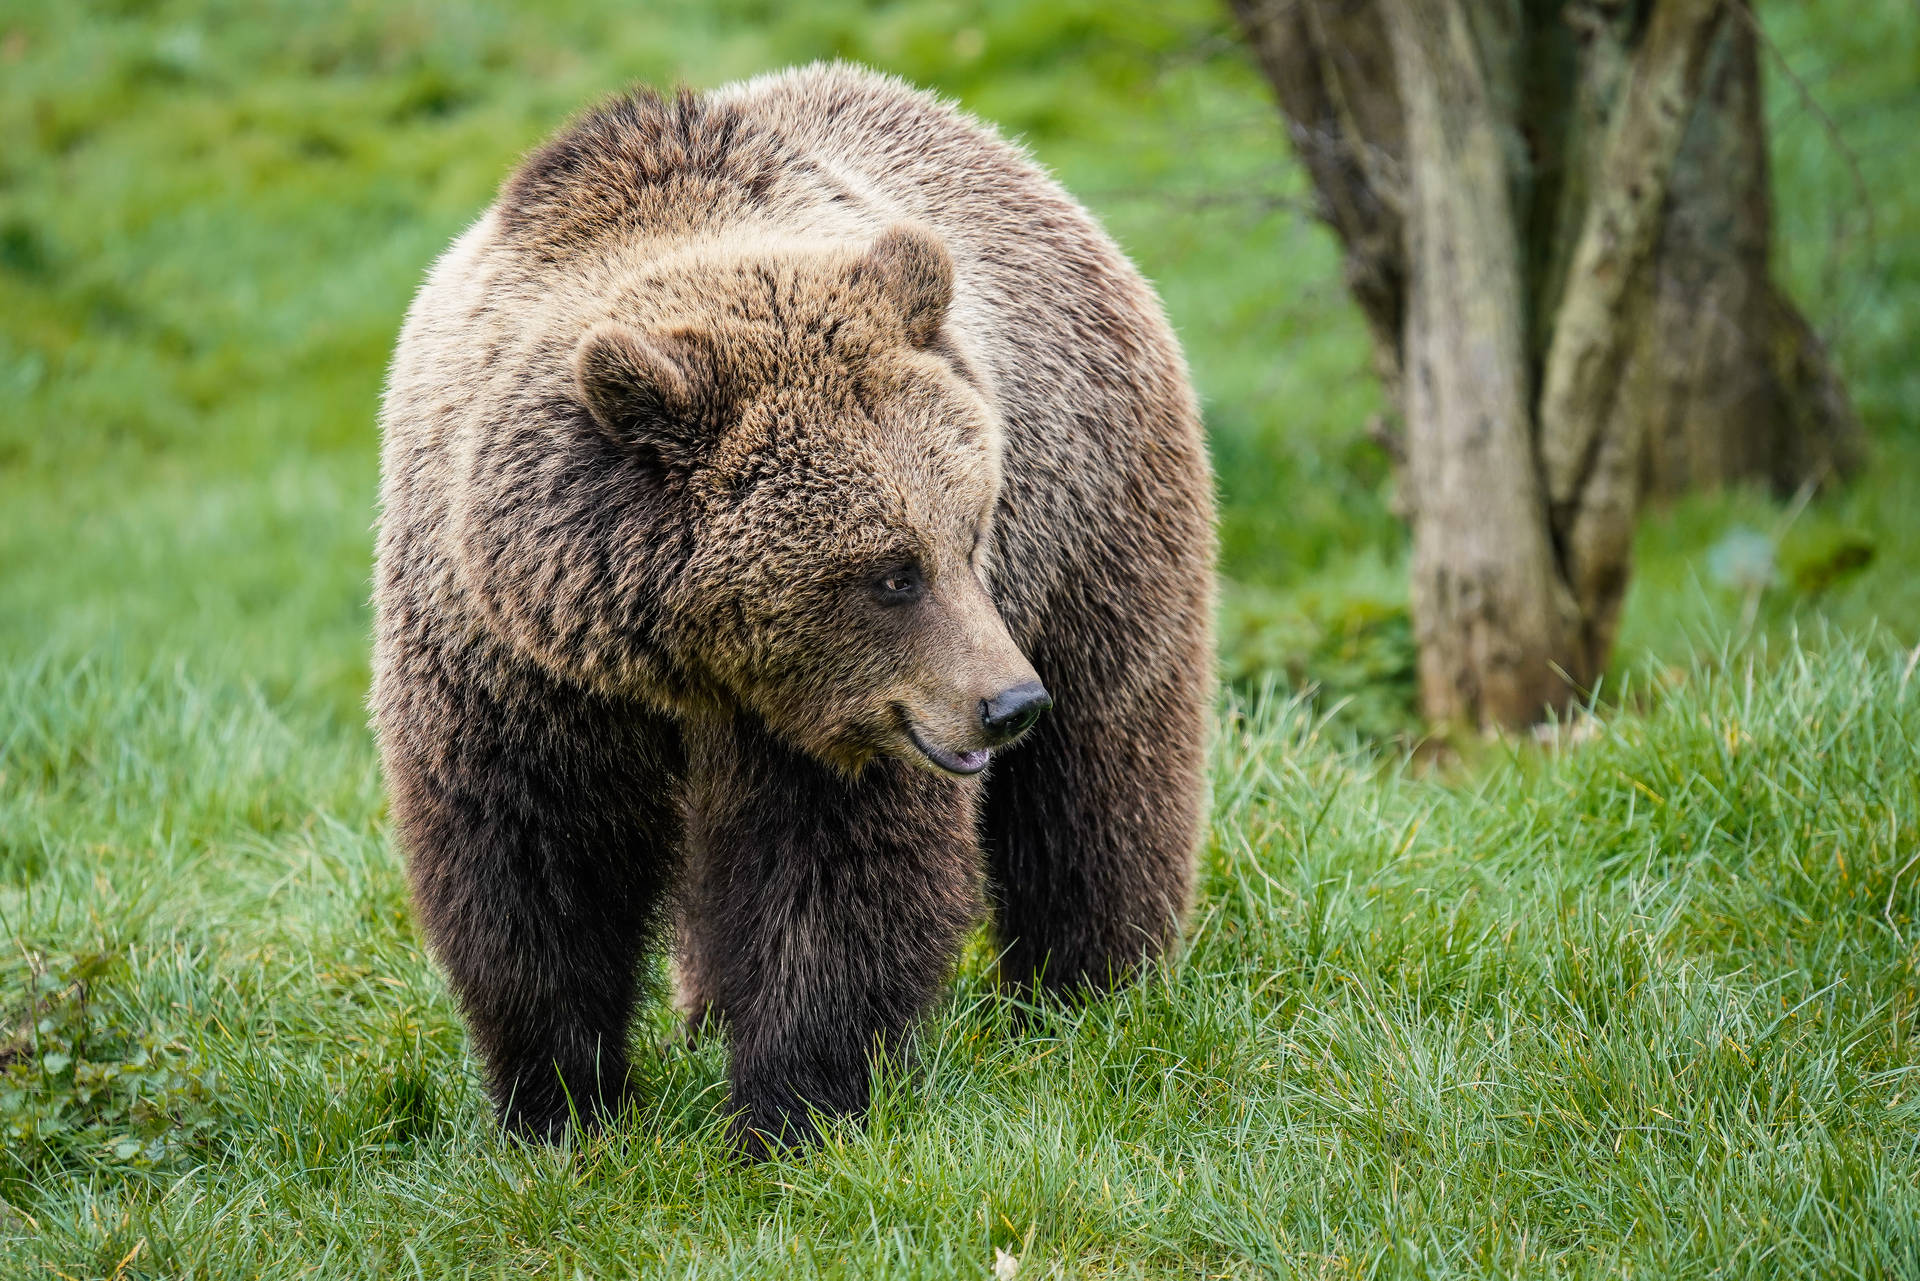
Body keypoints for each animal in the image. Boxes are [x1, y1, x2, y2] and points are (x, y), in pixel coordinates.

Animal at [372, 62, 1213, 1152]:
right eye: (892, 572)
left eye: (969, 534)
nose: (1007, 704)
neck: (674, 657)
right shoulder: (506, 662)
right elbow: (529, 862)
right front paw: (561, 1106)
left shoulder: (847, 720)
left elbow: (834, 877)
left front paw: (792, 1110)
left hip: (1094, 522)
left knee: (1105, 771)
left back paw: (1094, 985)